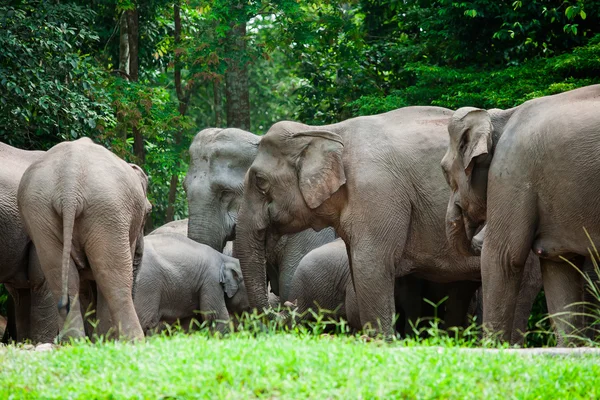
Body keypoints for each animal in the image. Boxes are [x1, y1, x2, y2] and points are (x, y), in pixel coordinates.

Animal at [18, 138, 152, 340]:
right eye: (149, 212)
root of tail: (69, 184)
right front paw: (104, 339)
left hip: (39, 213)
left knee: (60, 276)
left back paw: (75, 341)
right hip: (108, 210)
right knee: (112, 276)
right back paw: (132, 341)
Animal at [233, 106, 540, 338]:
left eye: (260, 181)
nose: (282, 304)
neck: (327, 130)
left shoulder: (377, 192)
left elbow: (371, 265)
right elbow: (359, 268)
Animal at [438, 84, 600, 344]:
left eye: (444, 170)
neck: (502, 116)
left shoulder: (512, 169)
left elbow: (502, 256)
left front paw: (493, 348)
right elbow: (559, 267)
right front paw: (569, 346)